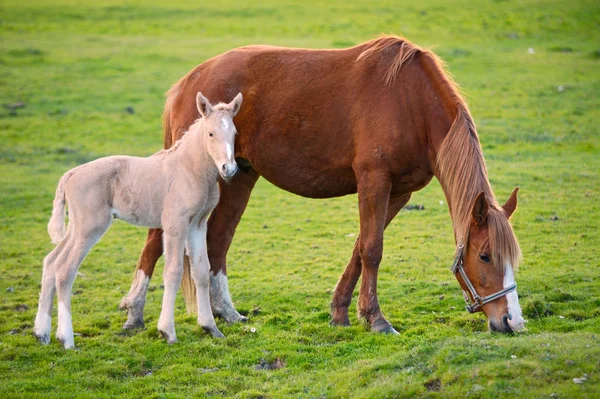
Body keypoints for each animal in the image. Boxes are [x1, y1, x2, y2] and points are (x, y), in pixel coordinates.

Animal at [33, 92, 241, 348]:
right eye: (211, 133)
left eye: (234, 133)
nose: (228, 168)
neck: (189, 170)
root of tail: (70, 175)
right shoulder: (175, 224)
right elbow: (173, 271)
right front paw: (167, 332)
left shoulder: (197, 225)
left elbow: (201, 270)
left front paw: (210, 327)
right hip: (90, 227)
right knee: (65, 270)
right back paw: (67, 339)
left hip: (77, 227)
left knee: (51, 262)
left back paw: (42, 333)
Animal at [119, 36, 524, 334]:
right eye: (485, 255)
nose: (512, 320)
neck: (410, 100)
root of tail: (189, 82)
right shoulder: (374, 181)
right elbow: (372, 249)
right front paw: (376, 319)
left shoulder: (398, 191)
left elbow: (360, 247)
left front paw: (341, 312)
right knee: (155, 240)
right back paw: (135, 312)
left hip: (238, 179)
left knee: (217, 244)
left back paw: (226, 313)